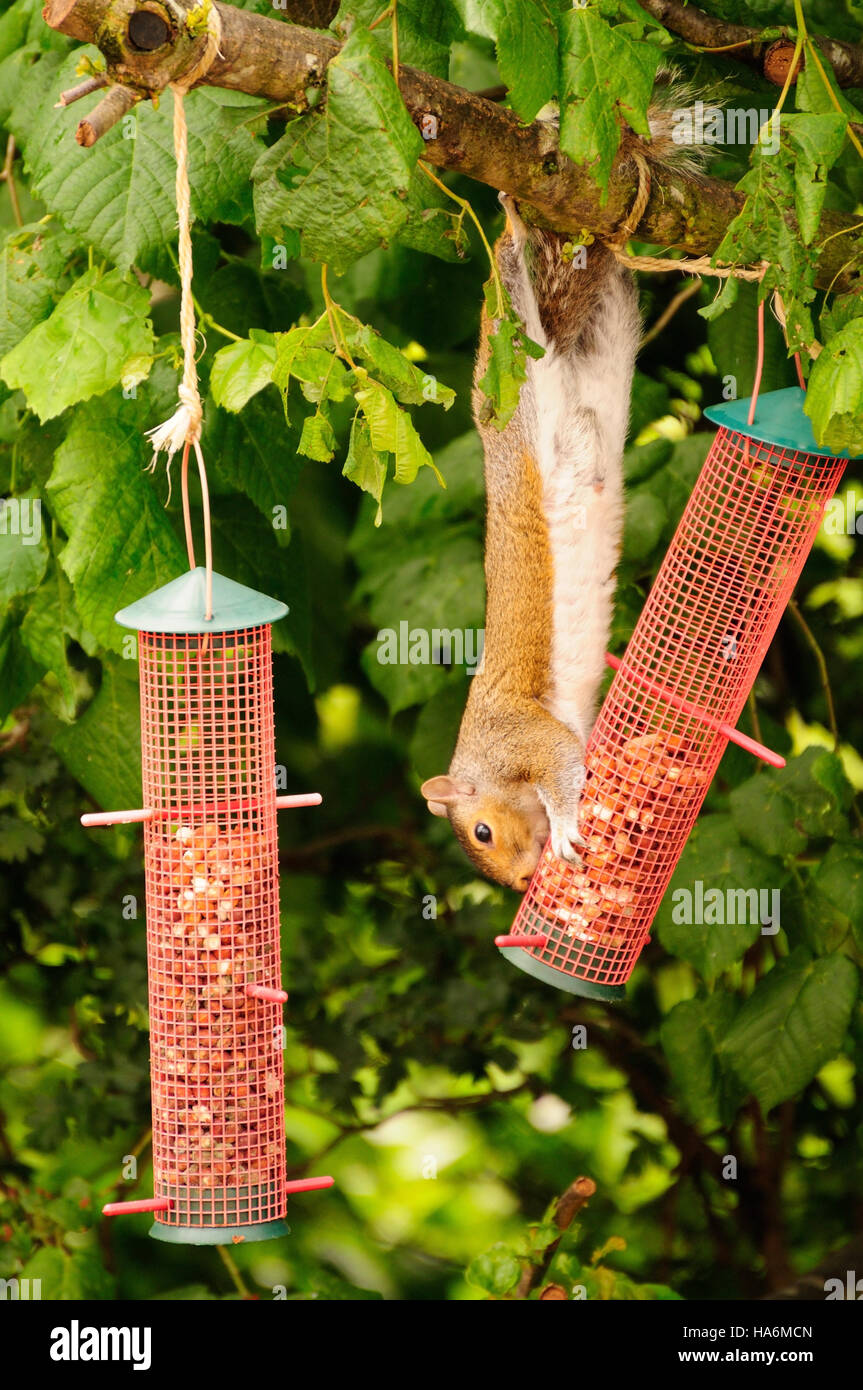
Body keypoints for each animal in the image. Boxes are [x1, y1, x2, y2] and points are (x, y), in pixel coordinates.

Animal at [419, 89, 697, 889]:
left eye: (481, 831)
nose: (518, 883)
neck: (480, 755)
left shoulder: (523, 737)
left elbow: (565, 770)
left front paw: (571, 824)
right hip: (611, 339)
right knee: (614, 286)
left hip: (512, 370)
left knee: (511, 278)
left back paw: (512, 217)